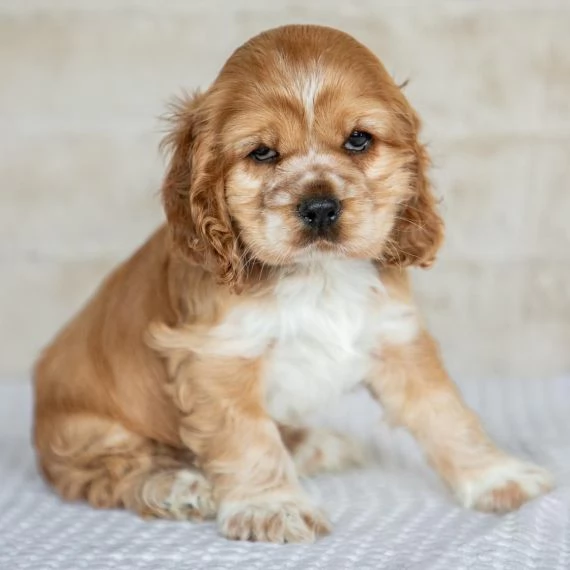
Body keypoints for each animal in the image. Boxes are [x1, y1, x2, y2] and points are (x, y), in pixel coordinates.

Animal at [32, 25, 552, 540]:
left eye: (358, 140)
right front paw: (271, 507)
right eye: (262, 152)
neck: (316, 275)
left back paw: (316, 444)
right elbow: (248, 437)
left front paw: (497, 477)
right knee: (107, 473)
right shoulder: (216, 358)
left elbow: (445, 412)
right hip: (86, 431)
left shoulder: (394, 334)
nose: (320, 207)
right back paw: (178, 485)